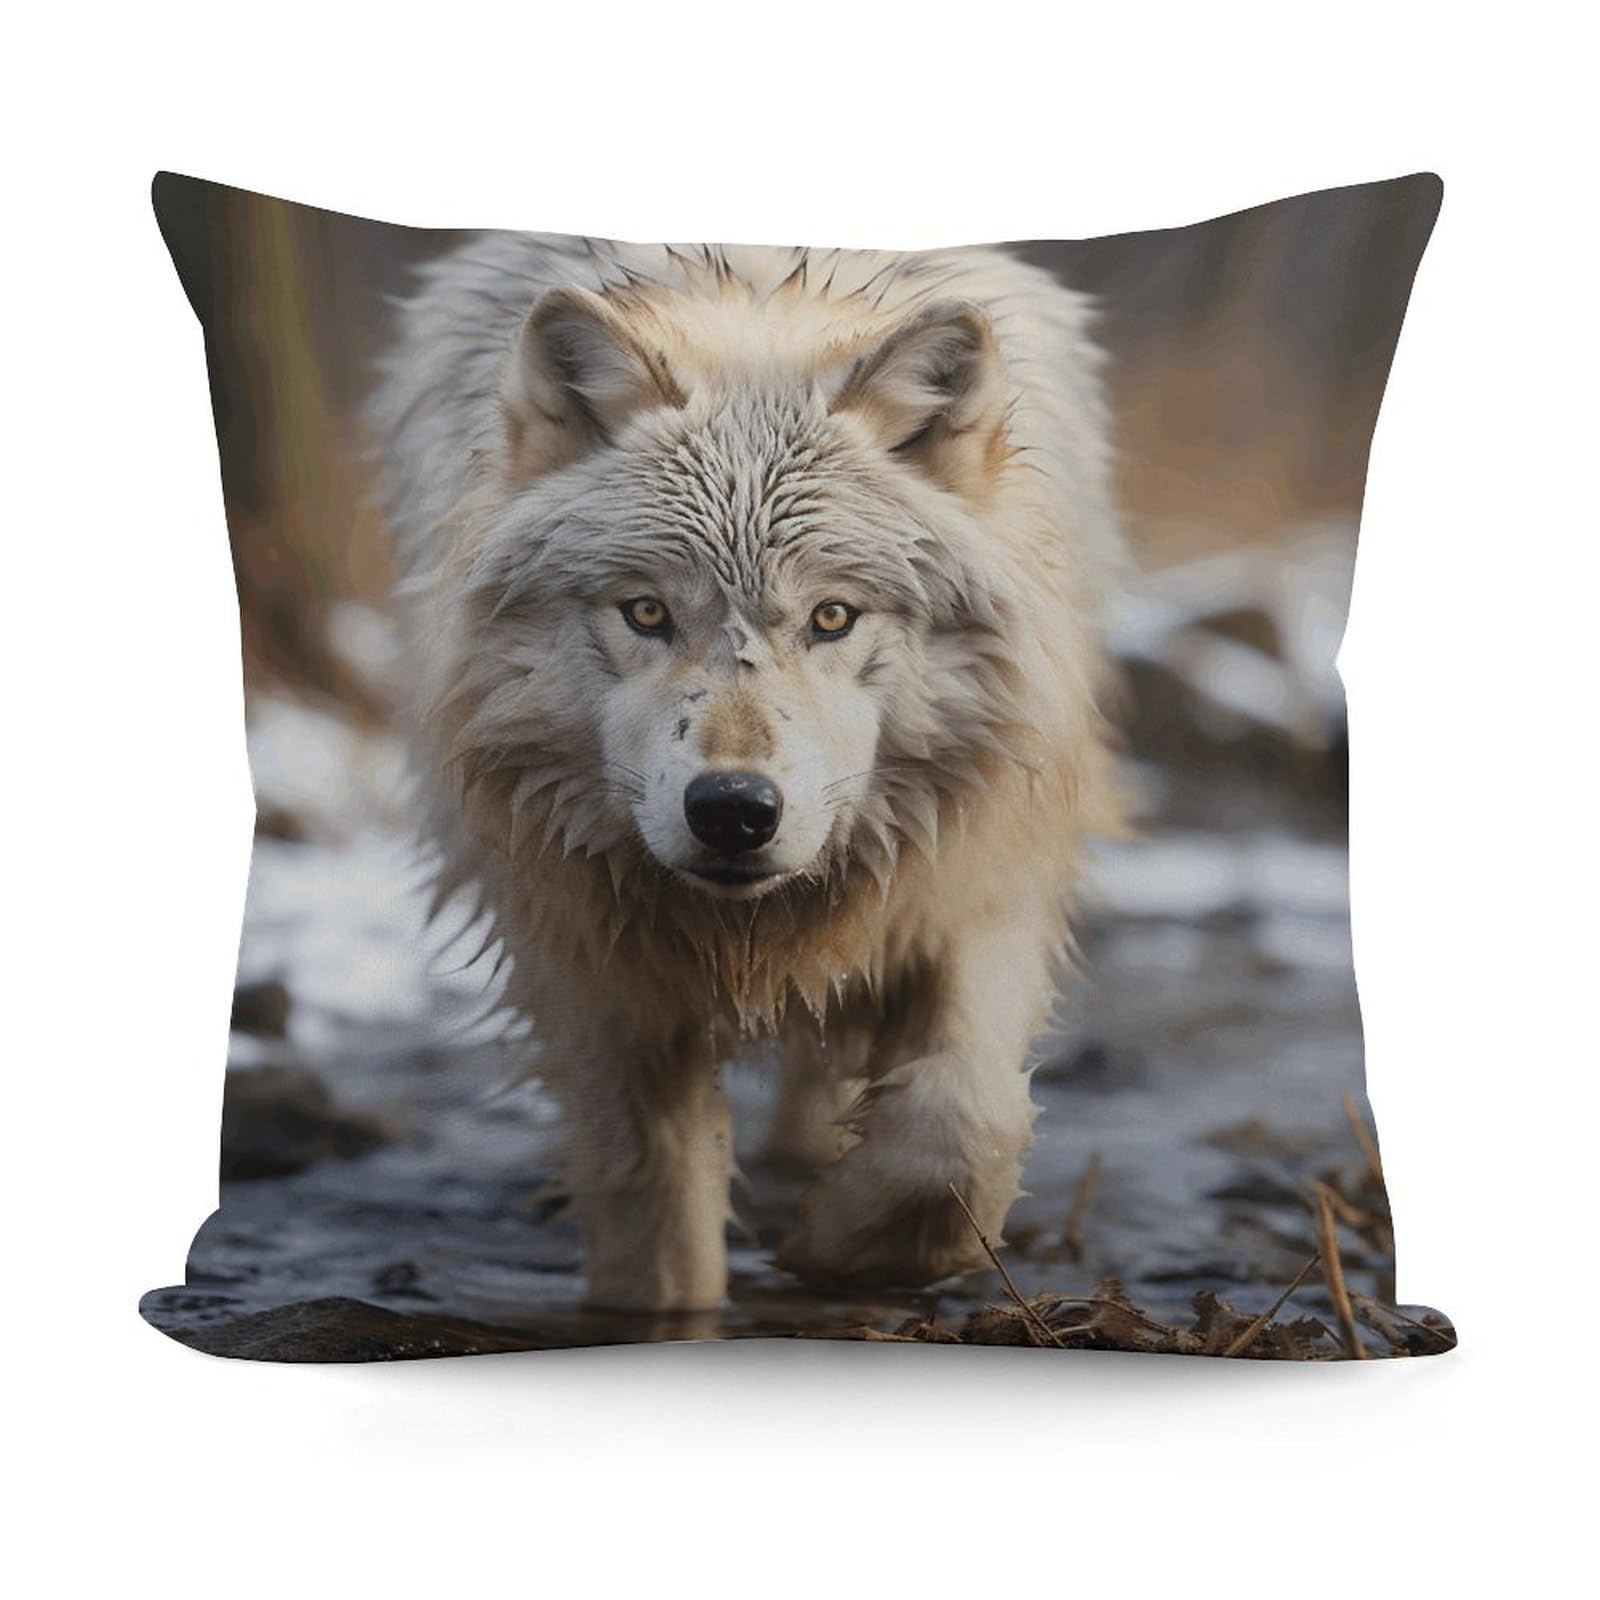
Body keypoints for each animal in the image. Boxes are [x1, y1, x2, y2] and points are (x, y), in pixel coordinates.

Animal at [372, 234, 1123, 1311]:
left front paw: (845, 1247)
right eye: (646, 612)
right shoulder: (582, 955)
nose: (732, 811)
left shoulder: (976, 875)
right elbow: (651, 1202)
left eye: (832, 617)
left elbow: (960, 1122)